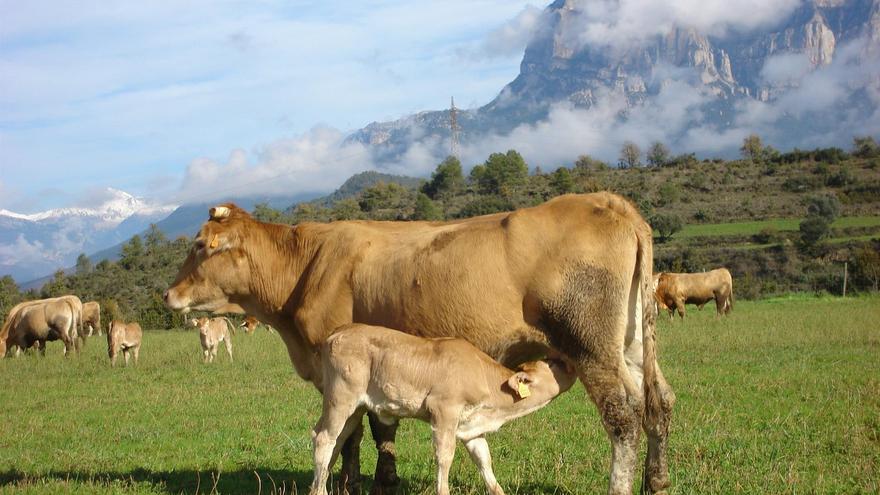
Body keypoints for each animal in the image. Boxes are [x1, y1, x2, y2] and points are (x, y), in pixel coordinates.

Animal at [310, 324, 576, 495]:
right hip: (340, 398)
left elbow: (484, 460)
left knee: (335, 440)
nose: (569, 361)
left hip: (354, 408)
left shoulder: (471, 427)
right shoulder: (444, 410)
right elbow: (445, 456)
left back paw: (317, 487)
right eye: (552, 364)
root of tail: (339, 331)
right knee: (324, 439)